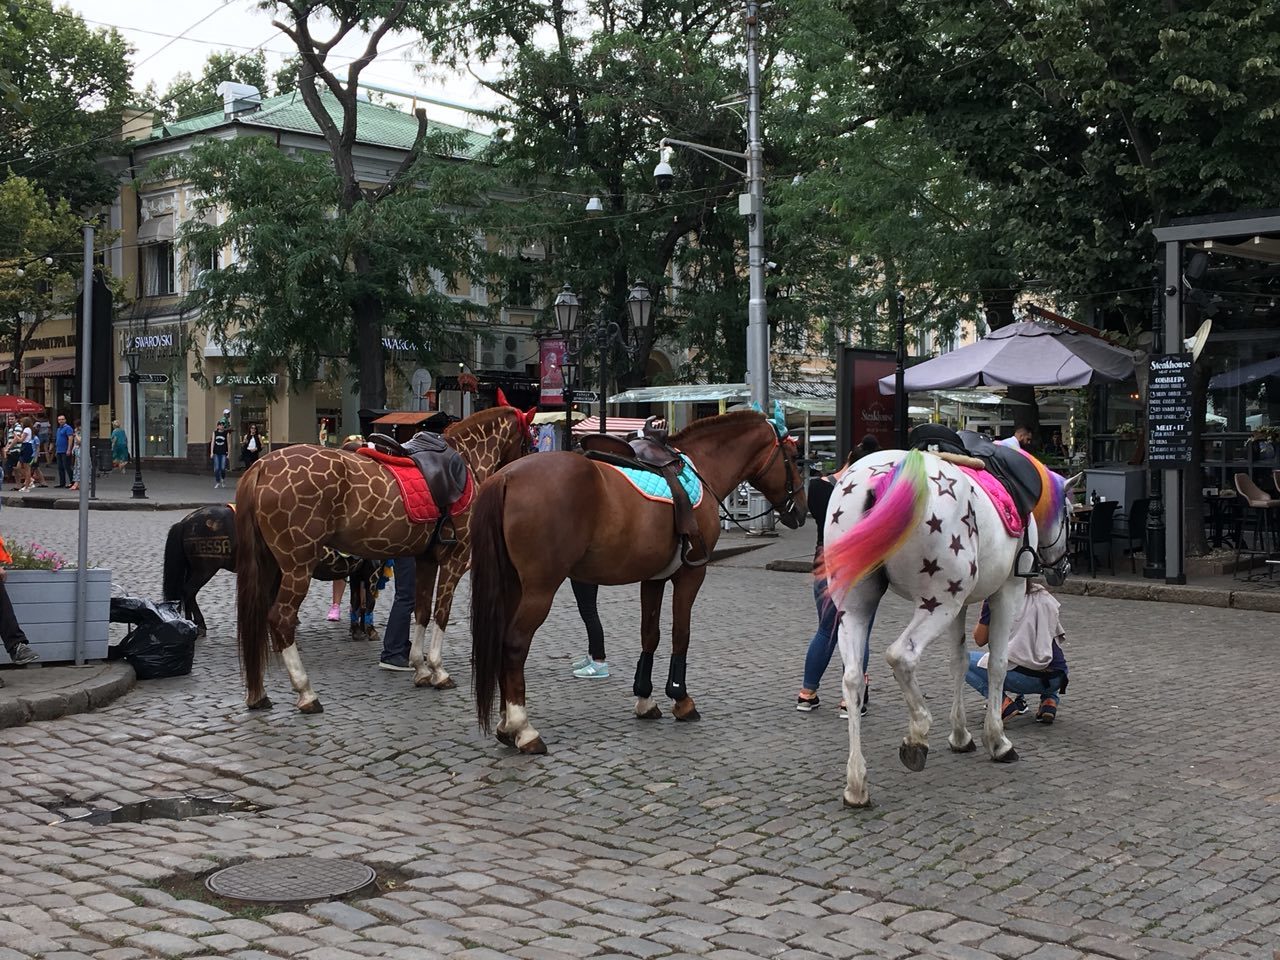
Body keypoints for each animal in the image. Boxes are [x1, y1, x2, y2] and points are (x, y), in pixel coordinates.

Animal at [238, 407, 532, 716]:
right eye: (528, 440)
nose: (519, 472)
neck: (465, 459)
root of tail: (261, 466)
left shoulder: (426, 559)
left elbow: (422, 611)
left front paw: (420, 668)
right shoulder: (456, 558)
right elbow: (441, 614)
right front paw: (438, 671)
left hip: (269, 566)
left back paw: (258, 695)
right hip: (297, 566)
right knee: (281, 619)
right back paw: (306, 692)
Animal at [471, 409, 808, 757]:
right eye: (793, 456)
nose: (802, 510)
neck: (701, 468)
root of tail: (506, 477)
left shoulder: (653, 578)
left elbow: (650, 635)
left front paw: (645, 699)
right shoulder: (691, 574)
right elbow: (680, 634)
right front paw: (681, 698)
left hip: (513, 586)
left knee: (501, 642)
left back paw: (505, 724)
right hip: (540, 590)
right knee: (514, 645)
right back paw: (522, 728)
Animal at [814, 448, 1075, 808]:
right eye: (1071, 515)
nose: (1063, 569)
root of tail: (882, 477)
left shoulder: (962, 606)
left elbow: (958, 662)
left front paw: (961, 736)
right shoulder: (1006, 592)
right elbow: (997, 664)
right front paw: (997, 741)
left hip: (856, 606)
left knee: (852, 678)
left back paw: (856, 784)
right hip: (938, 602)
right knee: (901, 656)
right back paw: (917, 734)